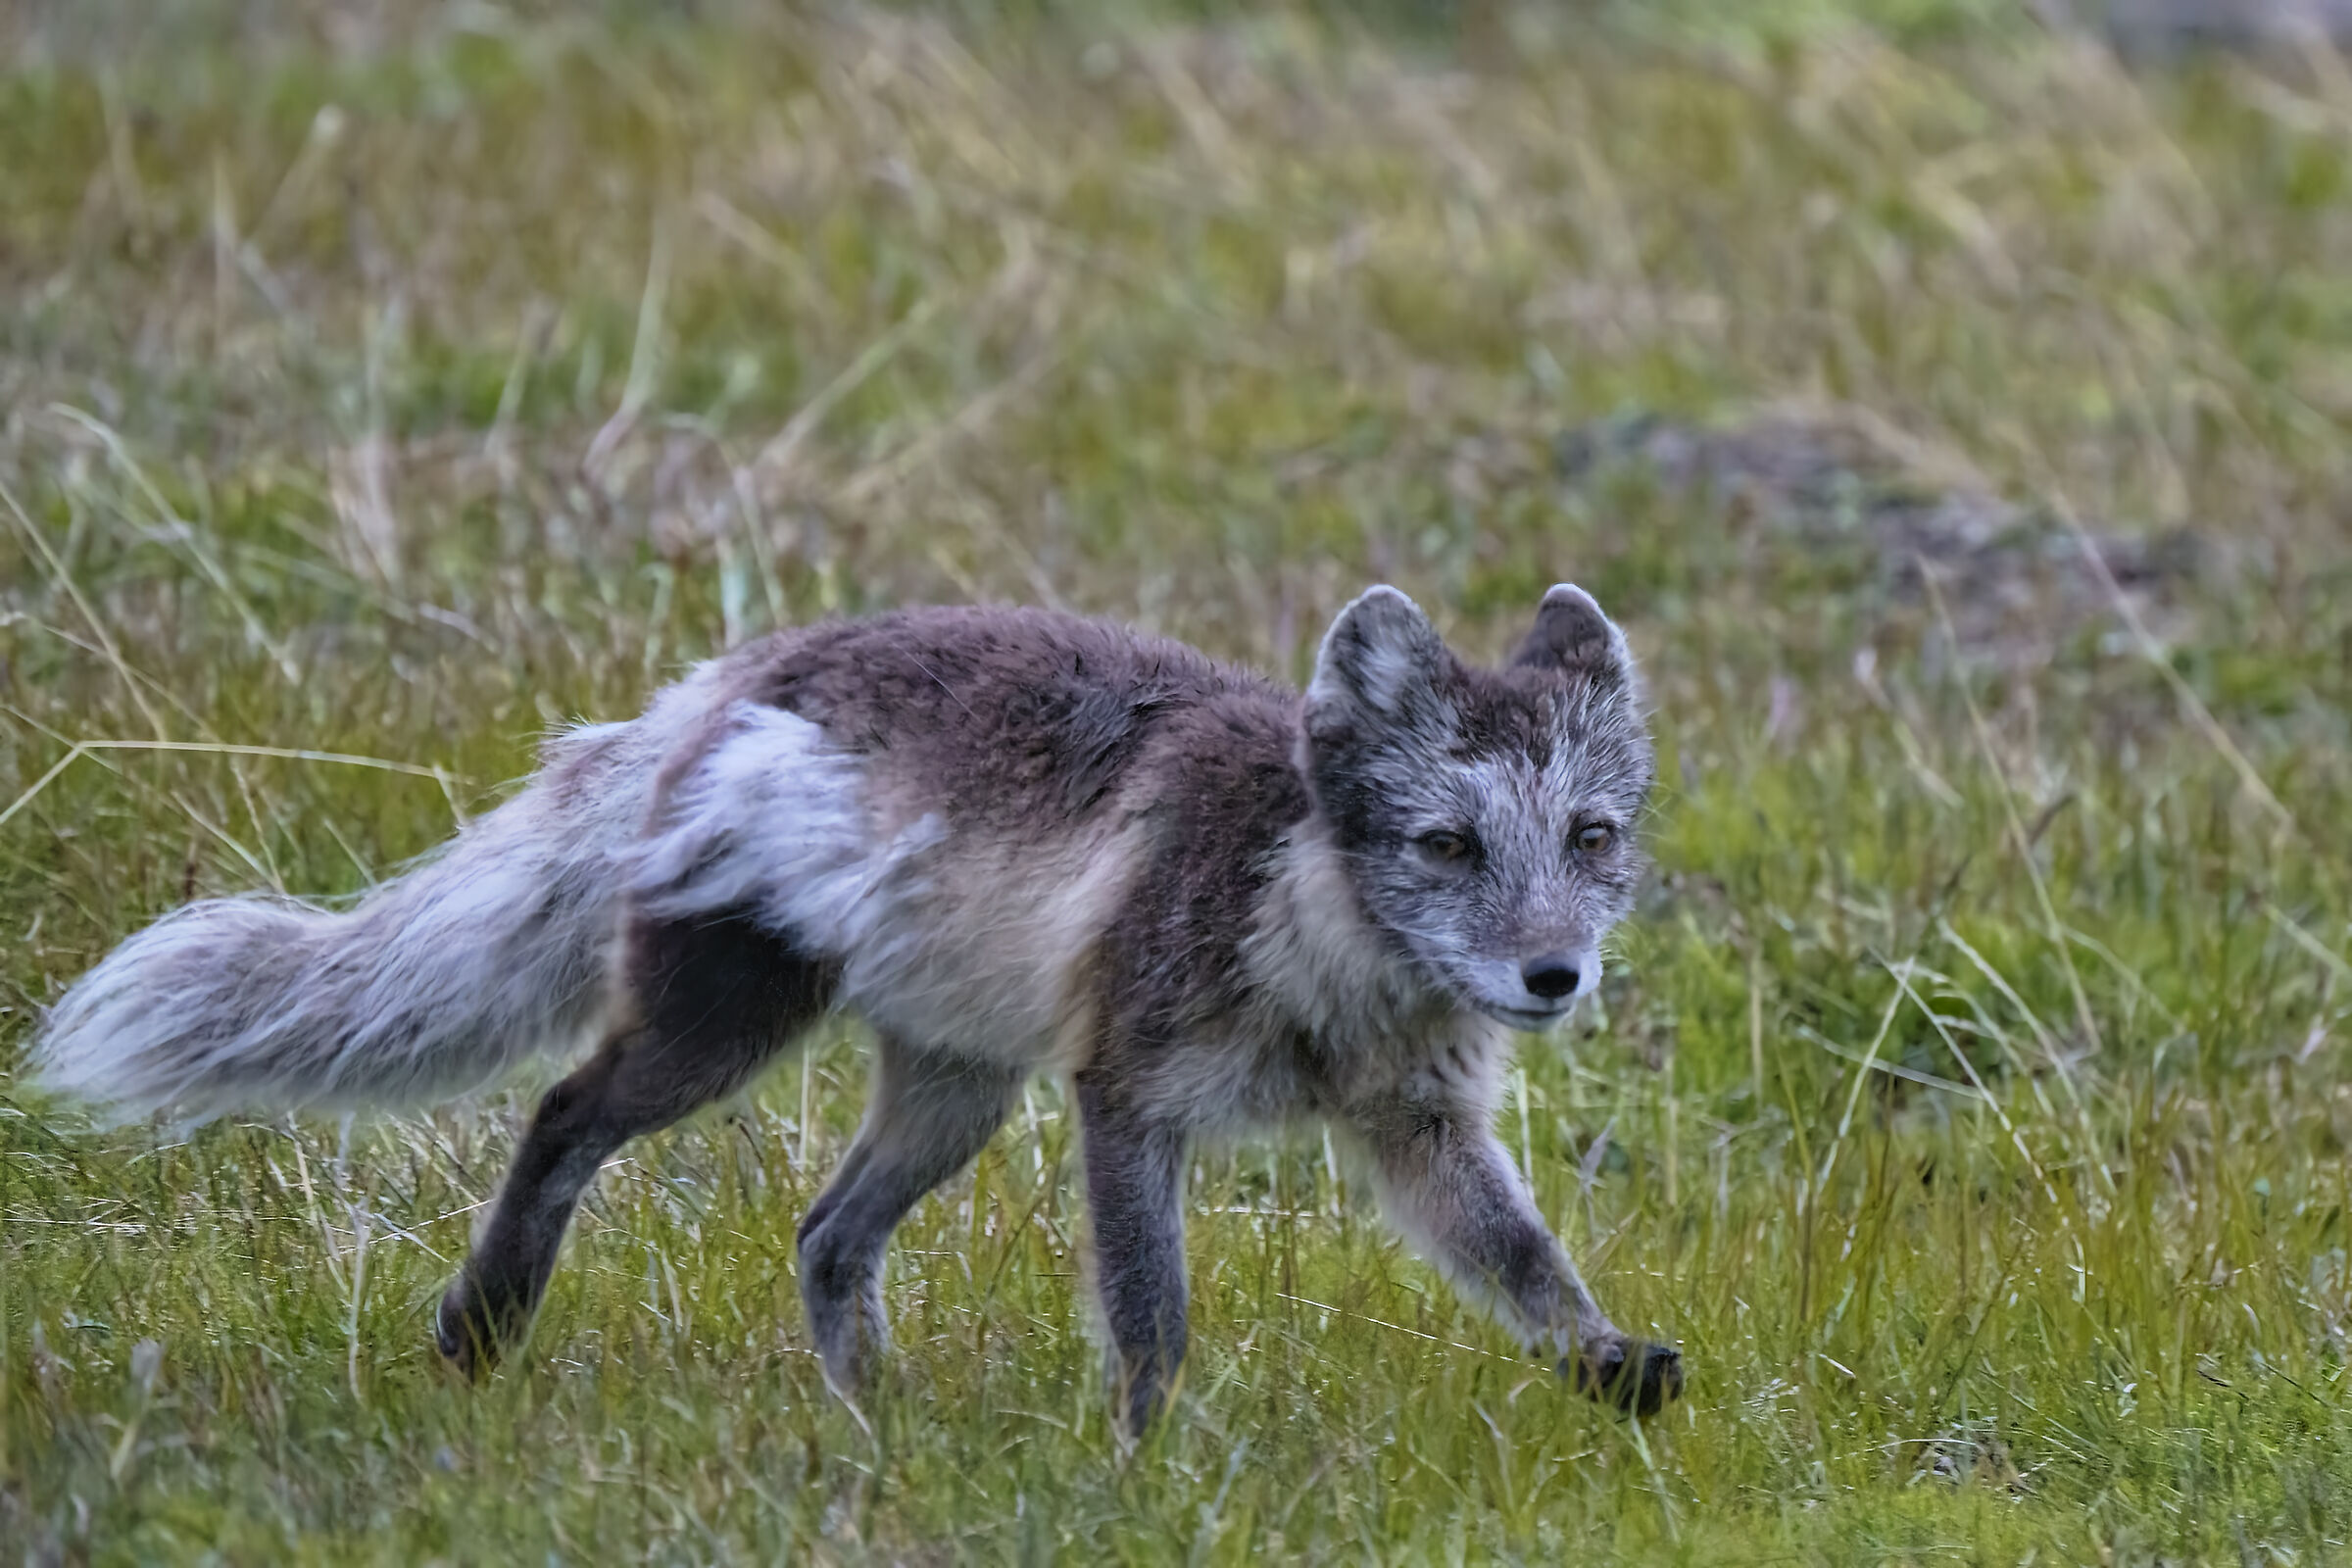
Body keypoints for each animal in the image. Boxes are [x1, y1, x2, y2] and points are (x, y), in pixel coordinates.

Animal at [29, 584, 1682, 1431]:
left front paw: (1603, 1362)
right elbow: (1152, 1311)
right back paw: (483, 1325)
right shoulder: (1127, 1096)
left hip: (957, 1090)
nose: (1553, 977)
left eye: (1590, 837)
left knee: (825, 1232)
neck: (1337, 966)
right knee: (565, 1113)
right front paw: (1152, 1457)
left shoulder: (1415, 1121)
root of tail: (724, 677)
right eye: (1448, 847)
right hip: (724, 1025)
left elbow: (1521, 1258)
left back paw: (883, 1419)